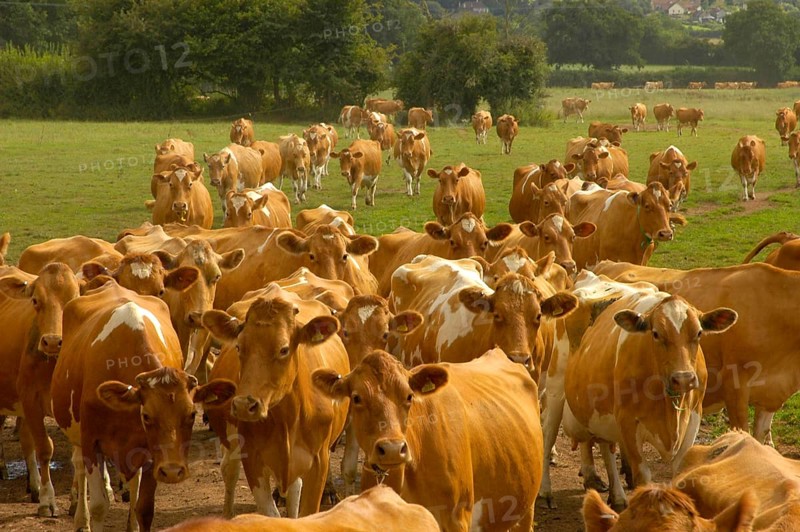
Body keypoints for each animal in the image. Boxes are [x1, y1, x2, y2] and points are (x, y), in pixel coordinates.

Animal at [50, 281, 235, 531]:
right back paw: (81, 518)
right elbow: (99, 505)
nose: (173, 471)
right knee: (78, 466)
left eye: (191, 414)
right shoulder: (92, 443)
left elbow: (145, 508)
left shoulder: (150, 453)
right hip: (76, 432)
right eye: (146, 416)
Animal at [201, 287, 349, 517]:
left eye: (283, 349)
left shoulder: (319, 462)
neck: (288, 417)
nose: (244, 405)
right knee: (229, 471)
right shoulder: (252, 460)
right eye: (238, 347)